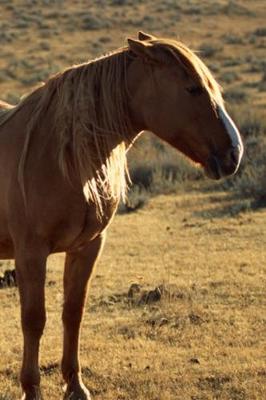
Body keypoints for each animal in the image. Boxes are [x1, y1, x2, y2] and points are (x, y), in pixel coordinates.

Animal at [0, 32, 242, 400]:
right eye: (193, 89)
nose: (234, 153)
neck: (61, 154)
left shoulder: (87, 247)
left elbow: (73, 313)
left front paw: (75, 385)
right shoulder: (31, 252)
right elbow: (34, 319)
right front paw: (31, 389)